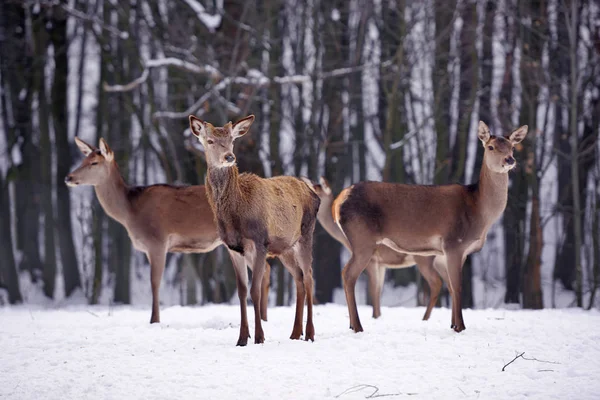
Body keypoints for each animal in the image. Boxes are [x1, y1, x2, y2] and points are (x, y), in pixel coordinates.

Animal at [63, 138, 270, 324]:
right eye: (83, 160)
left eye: (94, 162)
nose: (68, 177)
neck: (130, 213)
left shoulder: (157, 241)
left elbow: (155, 282)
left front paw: (154, 320)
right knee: (266, 269)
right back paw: (263, 317)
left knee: (264, 269)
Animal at [190, 114, 322, 346]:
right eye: (210, 141)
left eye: (232, 140)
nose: (229, 156)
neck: (235, 214)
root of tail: (314, 193)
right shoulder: (233, 248)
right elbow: (242, 291)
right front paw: (242, 337)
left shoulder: (260, 242)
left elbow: (256, 290)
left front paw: (259, 337)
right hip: (285, 248)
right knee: (298, 277)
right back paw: (295, 333)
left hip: (306, 233)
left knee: (309, 277)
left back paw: (310, 333)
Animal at [300, 177, 440, 320]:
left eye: (318, 192)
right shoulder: (382, 264)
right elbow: (378, 290)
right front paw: (378, 315)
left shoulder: (374, 259)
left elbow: (374, 291)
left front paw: (375, 316)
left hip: (423, 258)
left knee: (436, 283)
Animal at [336, 122, 528, 334]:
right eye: (491, 147)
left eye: (512, 147)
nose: (510, 160)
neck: (478, 212)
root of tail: (338, 202)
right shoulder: (454, 243)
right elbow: (457, 287)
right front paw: (461, 327)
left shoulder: (451, 253)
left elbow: (450, 287)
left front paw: (453, 324)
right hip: (363, 239)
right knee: (348, 274)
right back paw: (357, 326)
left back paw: (352, 324)